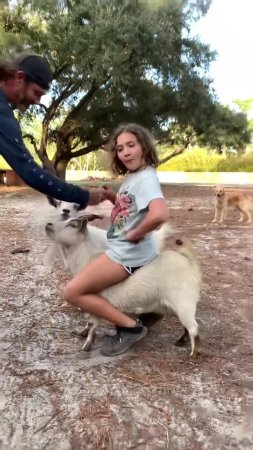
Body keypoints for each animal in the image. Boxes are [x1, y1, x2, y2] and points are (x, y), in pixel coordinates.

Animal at [44, 215, 202, 358]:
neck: (87, 259)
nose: (48, 224)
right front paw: (82, 333)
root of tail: (188, 260)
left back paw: (193, 353)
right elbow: (89, 323)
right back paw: (180, 341)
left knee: (193, 327)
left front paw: (86, 347)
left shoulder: (92, 298)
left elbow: (93, 324)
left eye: (72, 225)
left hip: (183, 299)